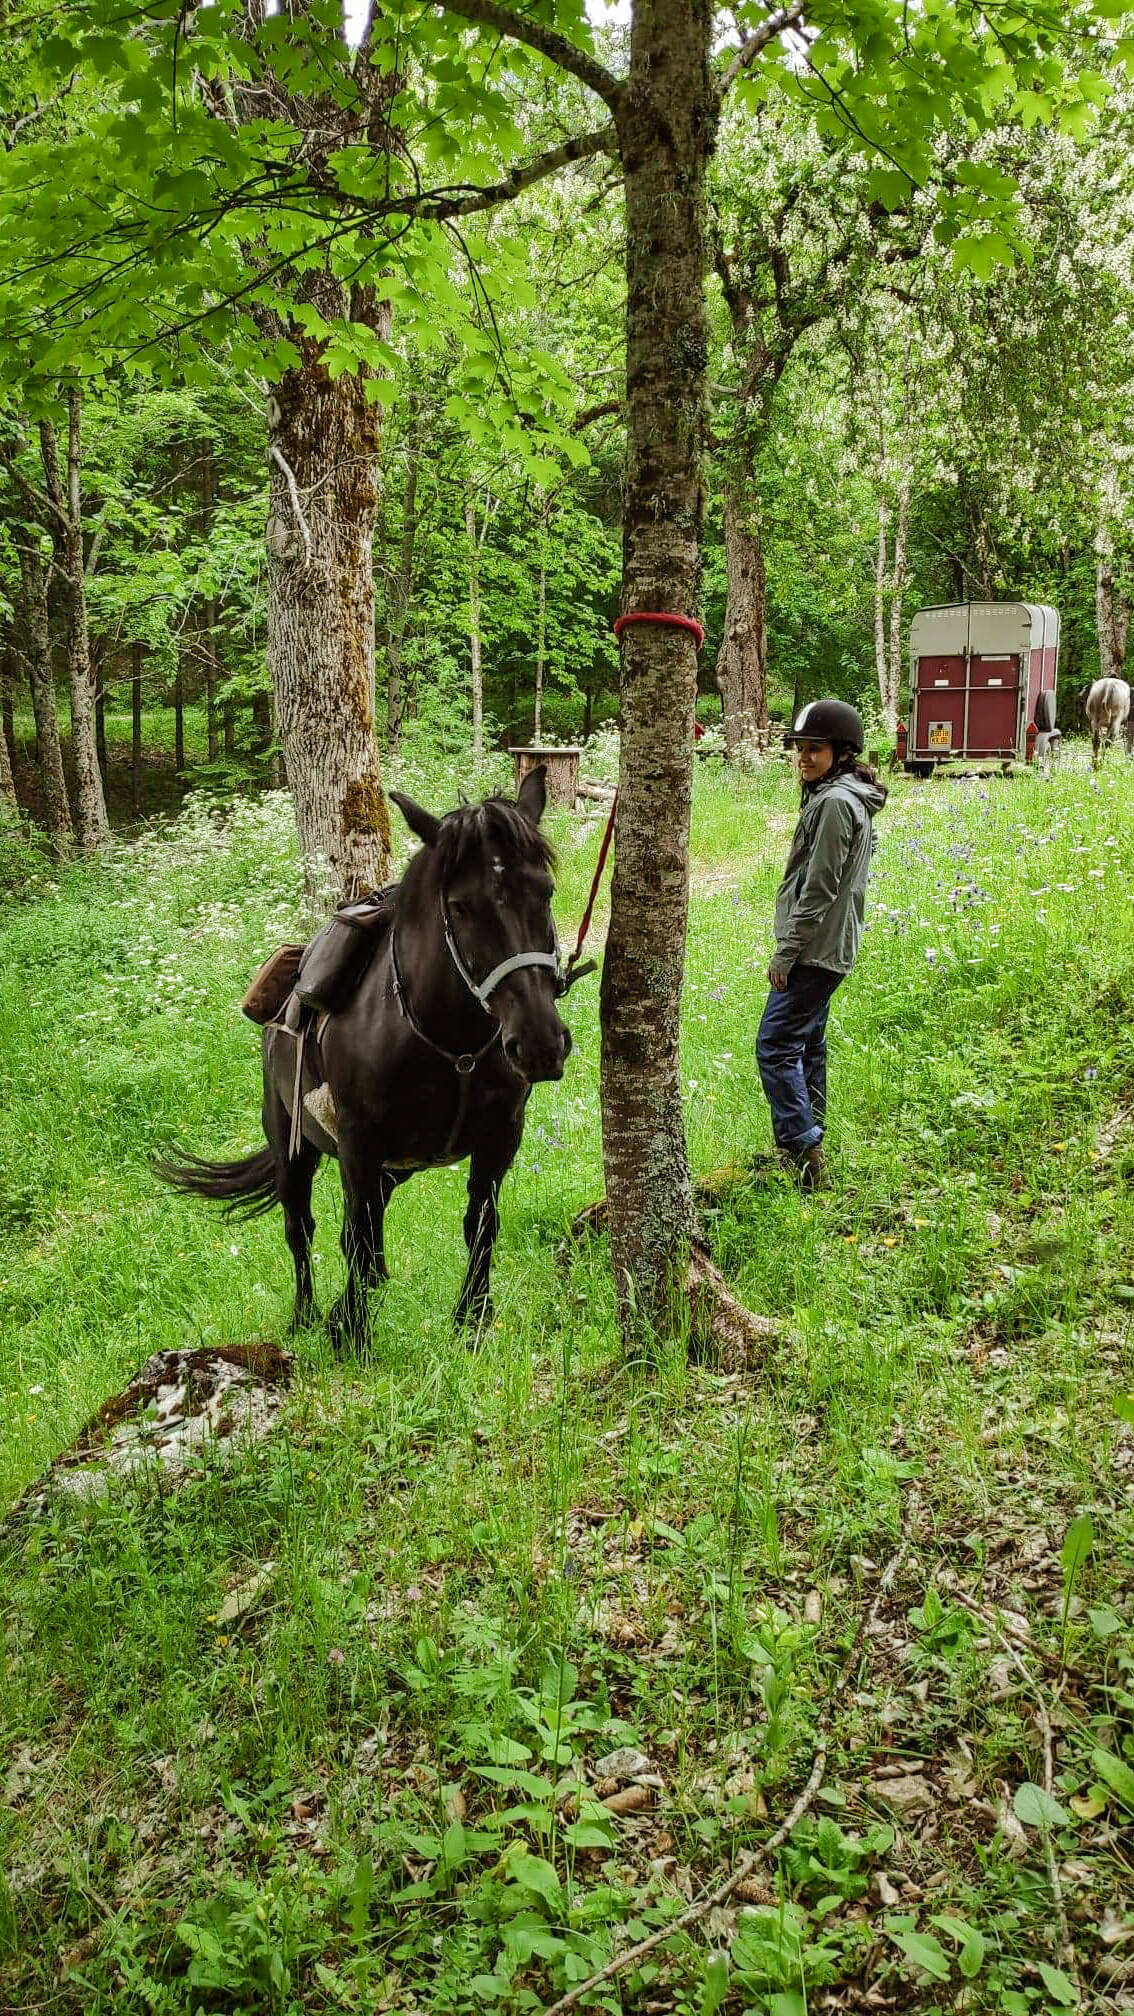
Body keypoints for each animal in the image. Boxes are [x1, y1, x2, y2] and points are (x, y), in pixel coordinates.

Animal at [155, 762, 569, 1346]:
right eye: (461, 906)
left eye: (545, 891)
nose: (539, 1044)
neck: (450, 1047)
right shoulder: (357, 1144)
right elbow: (359, 1245)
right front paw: (349, 1332)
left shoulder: (500, 1136)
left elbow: (480, 1225)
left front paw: (472, 1319)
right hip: (292, 1143)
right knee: (300, 1228)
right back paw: (305, 1317)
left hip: (390, 1168)